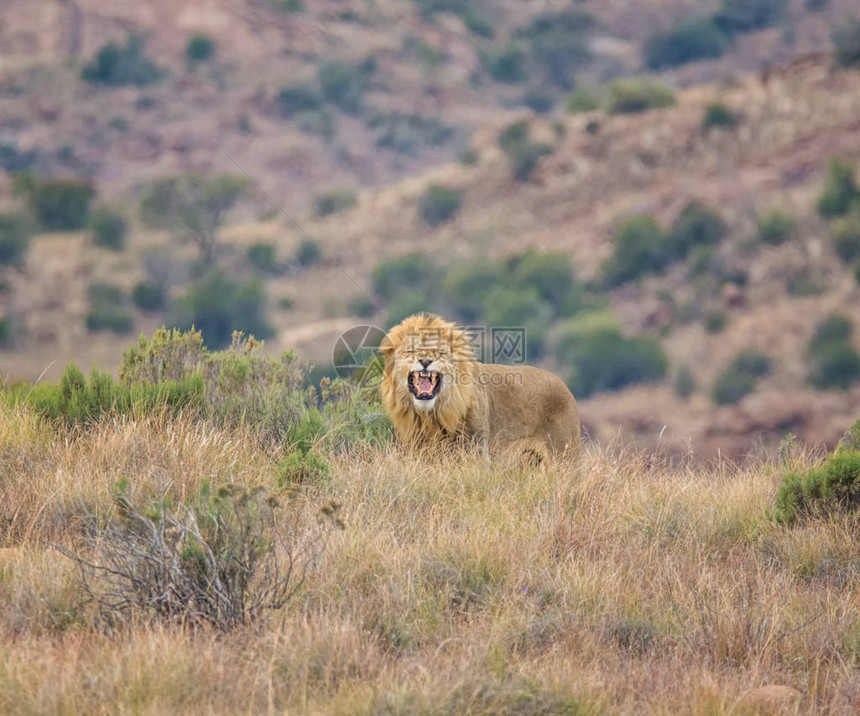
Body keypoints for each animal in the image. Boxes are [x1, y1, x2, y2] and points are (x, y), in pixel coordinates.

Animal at [380, 314, 580, 464]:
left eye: (440, 352)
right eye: (410, 351)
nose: (425, 361)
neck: (431, 416)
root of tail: (564, 386)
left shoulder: (476, 452)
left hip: (564, 455)